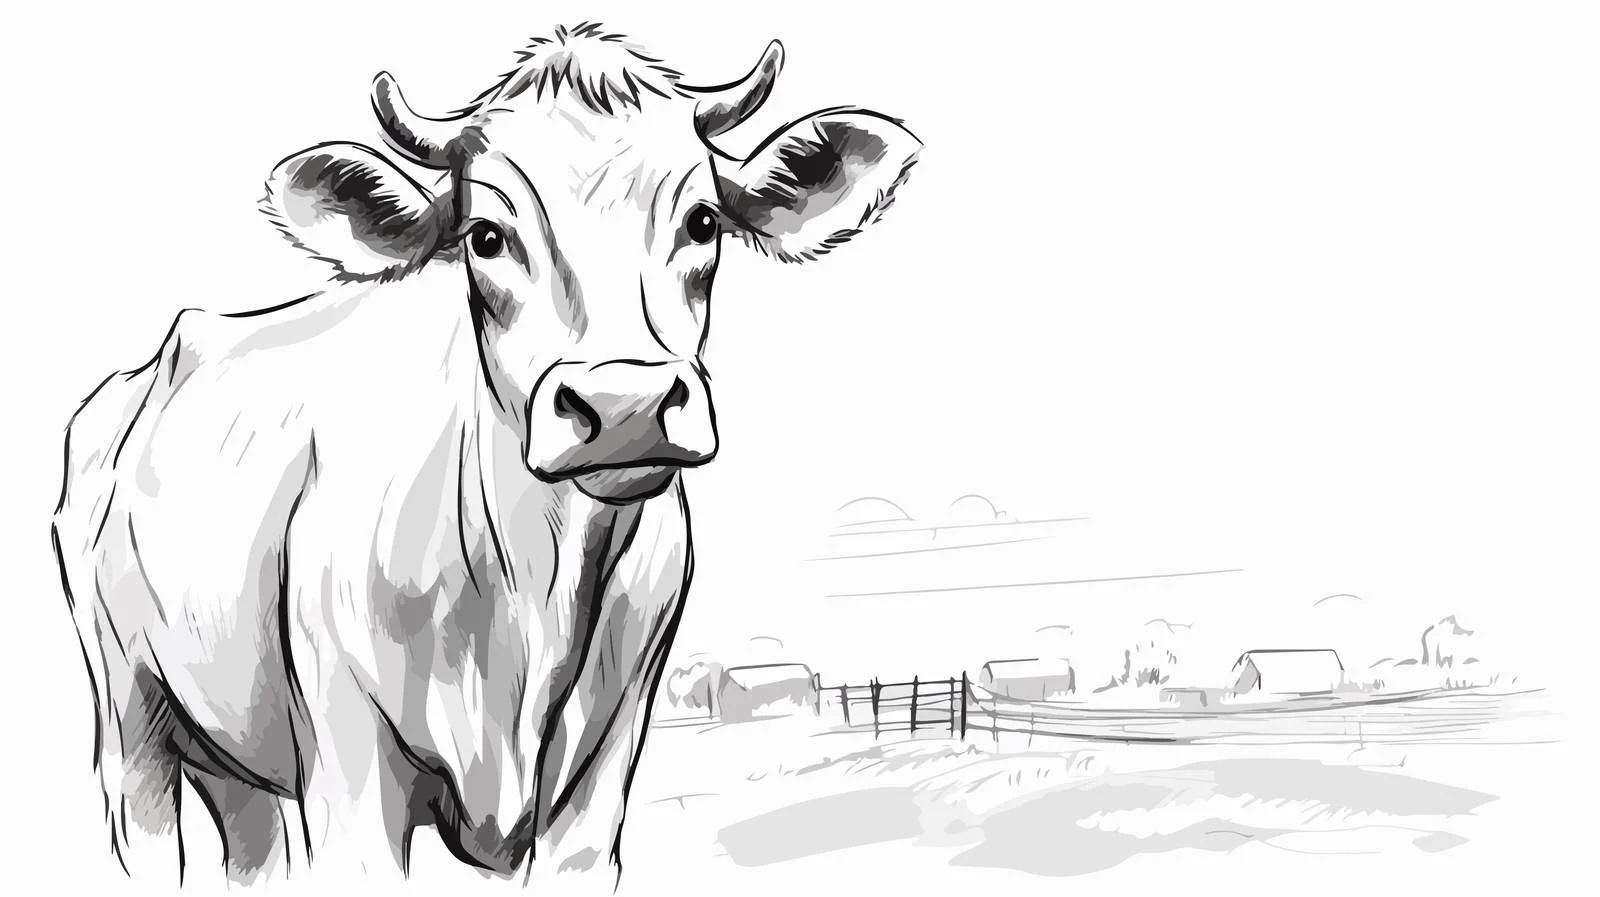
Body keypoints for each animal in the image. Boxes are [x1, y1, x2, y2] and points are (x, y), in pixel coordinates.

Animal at [50, 22, 919, 888]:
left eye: (703, 222)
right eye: (487, 236)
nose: (625, 405)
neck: (535, 589)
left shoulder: (597, 782)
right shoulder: (351, 775)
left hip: (235, 763)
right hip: (129, 716)